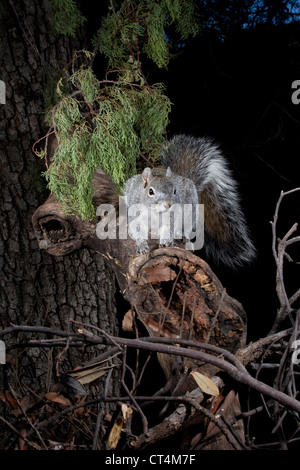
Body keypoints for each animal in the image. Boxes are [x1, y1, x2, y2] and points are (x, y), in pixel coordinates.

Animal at [123, 134, 255, 270]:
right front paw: (141, 244)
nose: (169, 204)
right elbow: (138, 228)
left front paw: (166, 241)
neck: (154, 211)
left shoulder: (171, 216)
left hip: (189, 213)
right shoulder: (136, 212)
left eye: (174, 191)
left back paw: (184, 238)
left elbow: (168, 228)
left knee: (185, 229)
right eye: (150, 191)